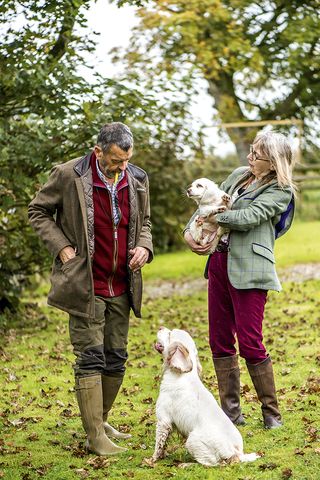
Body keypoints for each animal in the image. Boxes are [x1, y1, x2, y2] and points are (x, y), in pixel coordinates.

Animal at [151, 328, 260, 466]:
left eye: (170, 334)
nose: (160, 327)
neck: (179, 375)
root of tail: (236, 454)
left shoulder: (163, 420)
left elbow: (158, 445)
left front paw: (151, 460)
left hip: (191, 440)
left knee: (208, 464)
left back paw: (185, 465)